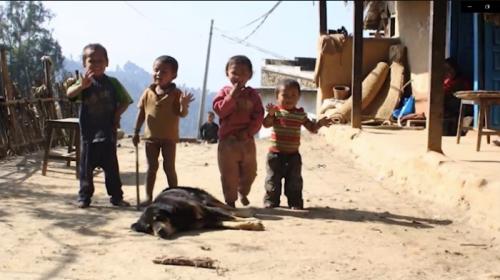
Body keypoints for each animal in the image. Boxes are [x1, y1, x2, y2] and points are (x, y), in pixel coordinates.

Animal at [131, 186, 264, 238]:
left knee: (228, 208)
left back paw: (248, 211)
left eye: (158, 217)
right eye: (148, 228)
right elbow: (230, 223)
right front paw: (251, 224)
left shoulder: (205, 209)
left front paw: (253, 222)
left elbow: (232, 217)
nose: (159, 232)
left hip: (205, 199)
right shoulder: (209, 221)